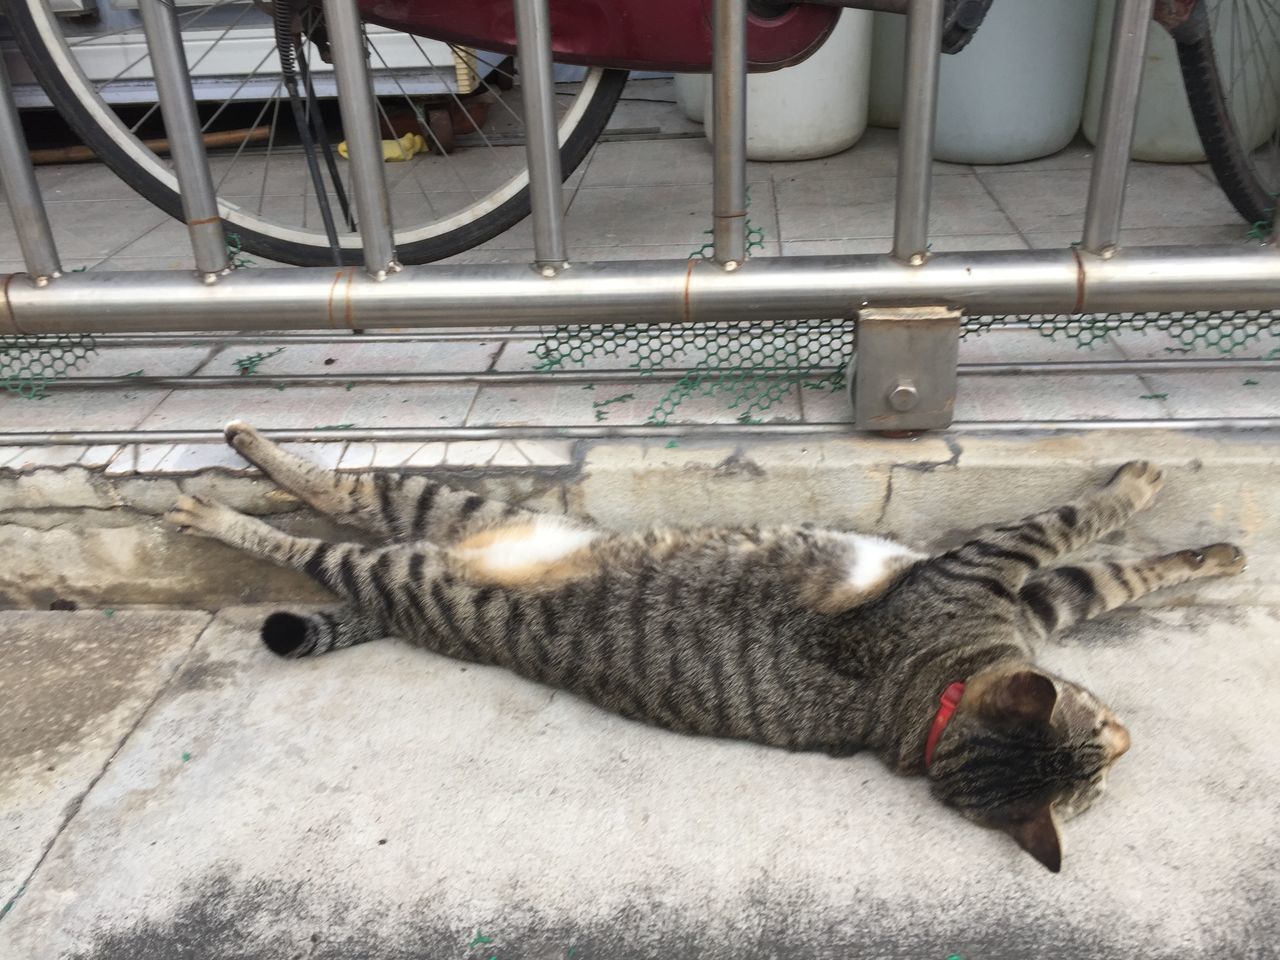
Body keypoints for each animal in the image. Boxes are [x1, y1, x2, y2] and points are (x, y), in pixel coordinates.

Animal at [165, 424, 1244, 875]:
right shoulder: (995, 569)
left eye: (1096, 776)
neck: (931, 708)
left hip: (440, 517)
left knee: (352, 496)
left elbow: (1119, 576)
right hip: (407, 554)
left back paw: (246, 466)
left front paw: (1213, 553)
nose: (1129, 740)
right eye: (1099, 730)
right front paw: (1141, 485)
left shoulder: (1033, 604)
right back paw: (216, 498)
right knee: (315, 535)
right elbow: (1078, 523)